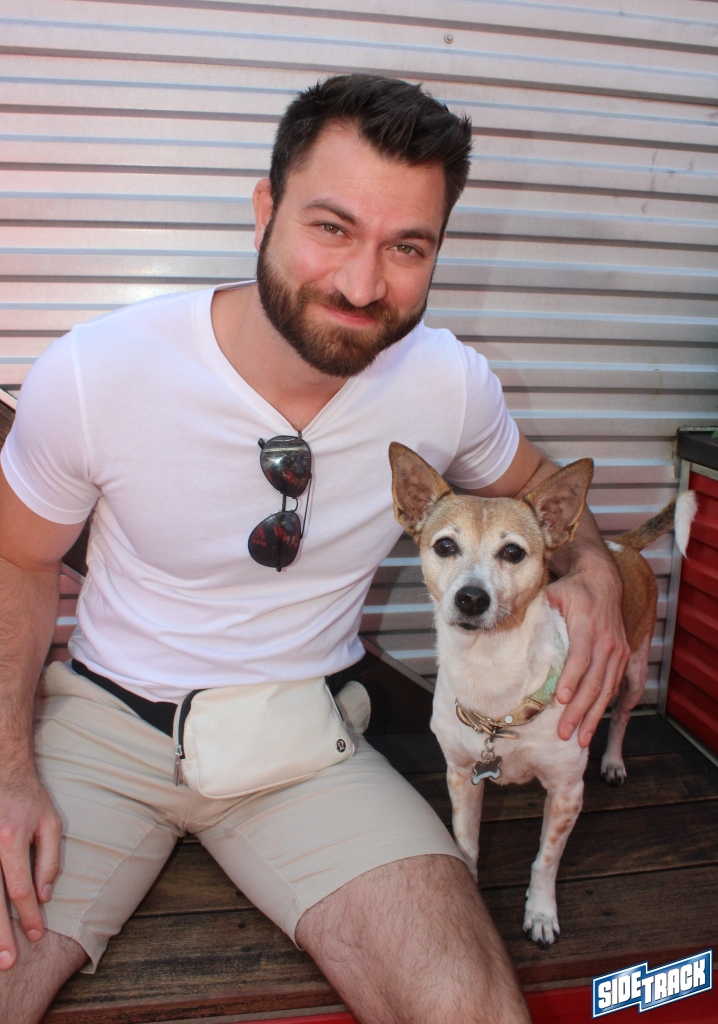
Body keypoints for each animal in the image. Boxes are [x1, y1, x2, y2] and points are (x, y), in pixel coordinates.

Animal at [389, 443, 696, 948]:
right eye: (445, 546)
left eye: (513, 552)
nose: (471, 598)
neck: (490, 670)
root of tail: (619, 545)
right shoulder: (461, 776)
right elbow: (466, 841)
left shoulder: (568, 792)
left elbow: (546, 860)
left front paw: (540, 913)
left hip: (633, 670)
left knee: (622, 717)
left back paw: (613, 761)